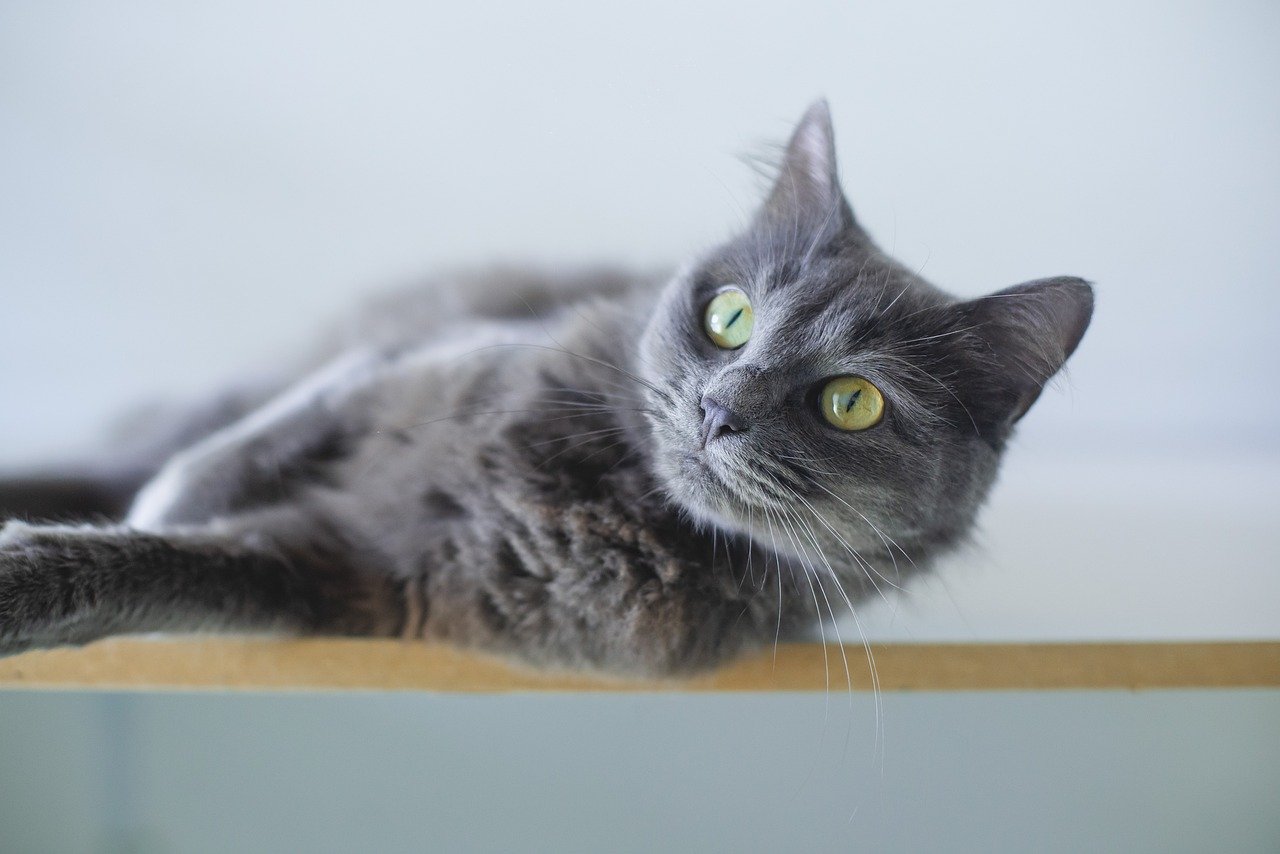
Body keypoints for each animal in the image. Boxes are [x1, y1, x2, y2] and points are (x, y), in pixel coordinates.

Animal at [0, 101, 1090, 676]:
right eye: (730, 317)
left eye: (851, 402)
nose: (720, 407)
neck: (597, 497)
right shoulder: (404, 365)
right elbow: (237, 456)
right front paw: (169, 498)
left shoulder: (346, 574)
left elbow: (163, 567)